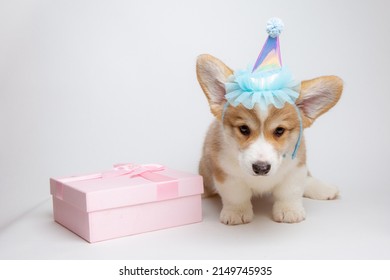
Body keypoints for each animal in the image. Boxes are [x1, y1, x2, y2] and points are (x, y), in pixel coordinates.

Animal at [197, 54, 342, 225]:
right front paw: (237, 212)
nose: (261, 168)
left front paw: (289, 210)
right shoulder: (225, 173)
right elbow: (236, 195)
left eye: (279, 130)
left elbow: (290, 191)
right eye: (244, 129)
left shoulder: (296, 167)